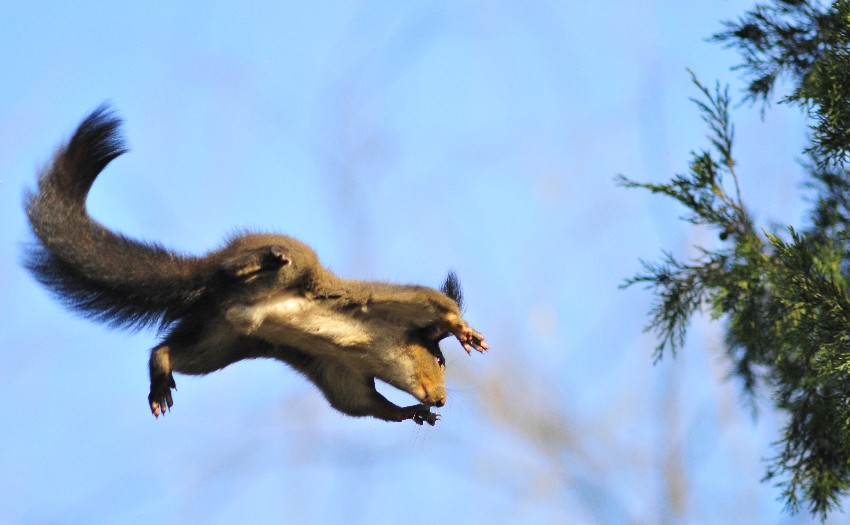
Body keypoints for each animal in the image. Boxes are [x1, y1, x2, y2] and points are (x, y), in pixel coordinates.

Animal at [24, 106, 484, 426]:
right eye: (440, 362)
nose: (441, 399)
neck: (374, 350)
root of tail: (213, 281)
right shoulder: (392, 305)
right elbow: (433, 303)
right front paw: (465, 332)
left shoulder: (343, 373)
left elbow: (358, 403)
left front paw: (412, 414)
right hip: (290, 270)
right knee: (245, 267)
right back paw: (263, 259)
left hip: (217, 342)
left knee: (168, 350)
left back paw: (161, 374)